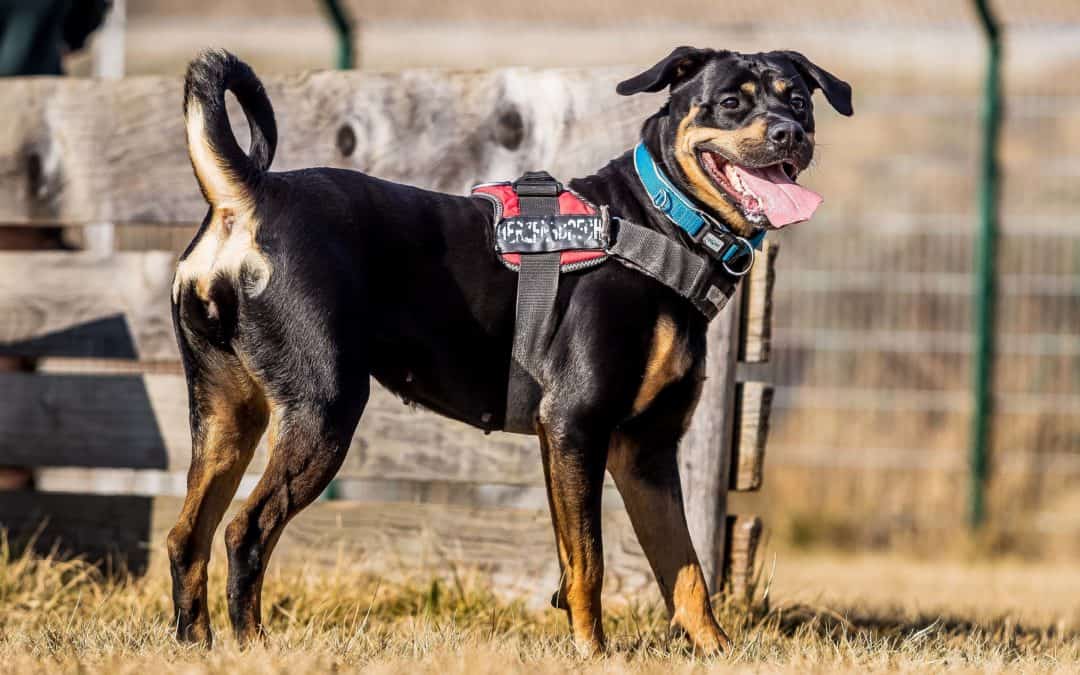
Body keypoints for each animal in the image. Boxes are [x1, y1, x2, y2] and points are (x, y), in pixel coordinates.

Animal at [166, 46, 851, 652]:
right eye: (731, 102)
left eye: (799, 102)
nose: (790, 133)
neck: (662, 224)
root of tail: (246, 195)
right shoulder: (575, 425)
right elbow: (588, 564)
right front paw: (593, 654)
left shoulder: (646, 451)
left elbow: (685, 570)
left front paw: (717, 651)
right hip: (324, 409)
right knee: (245, 531)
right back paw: (253, 644)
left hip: (225, 412)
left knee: (186, 536)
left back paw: (196, 643)